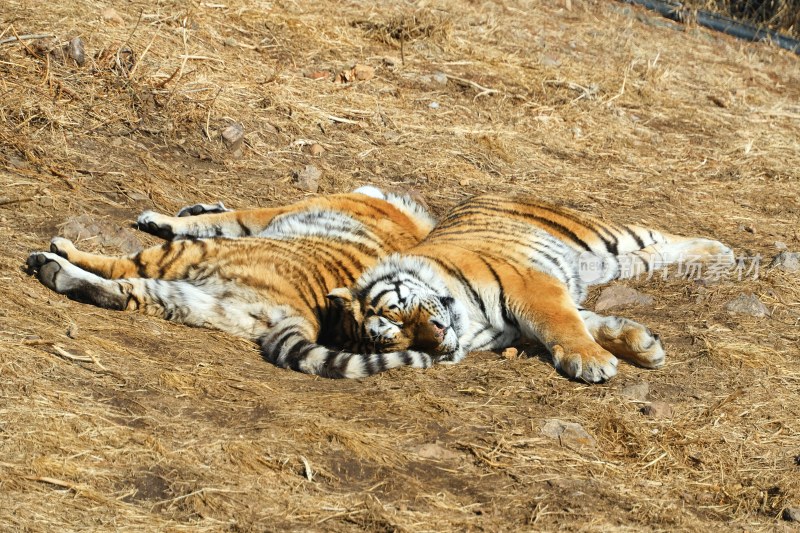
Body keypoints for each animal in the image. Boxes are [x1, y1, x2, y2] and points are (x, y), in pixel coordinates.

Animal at [26, 187, 438, 378]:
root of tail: (303, 314)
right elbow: (219, 214)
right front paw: (195, 208)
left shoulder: (270, 214)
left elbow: (225, 217)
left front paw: (160, 219)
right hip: (192, 301)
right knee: (127, 294)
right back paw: (54, 271)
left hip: (191, 256)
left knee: (119, 267)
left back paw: (55, 253)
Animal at [322, 195, 736, 382]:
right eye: (403, 342)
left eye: (397, 314)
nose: (437, 336)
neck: (470, 324)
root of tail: (486, 193)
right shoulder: (529, 316)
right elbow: (587, 322)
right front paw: (642, 346)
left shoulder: (530, 286)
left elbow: (561, 323)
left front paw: (592, 361)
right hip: (608, 262)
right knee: (655, 253)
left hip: (602, 235)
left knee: (662, 235)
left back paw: (721, 251)